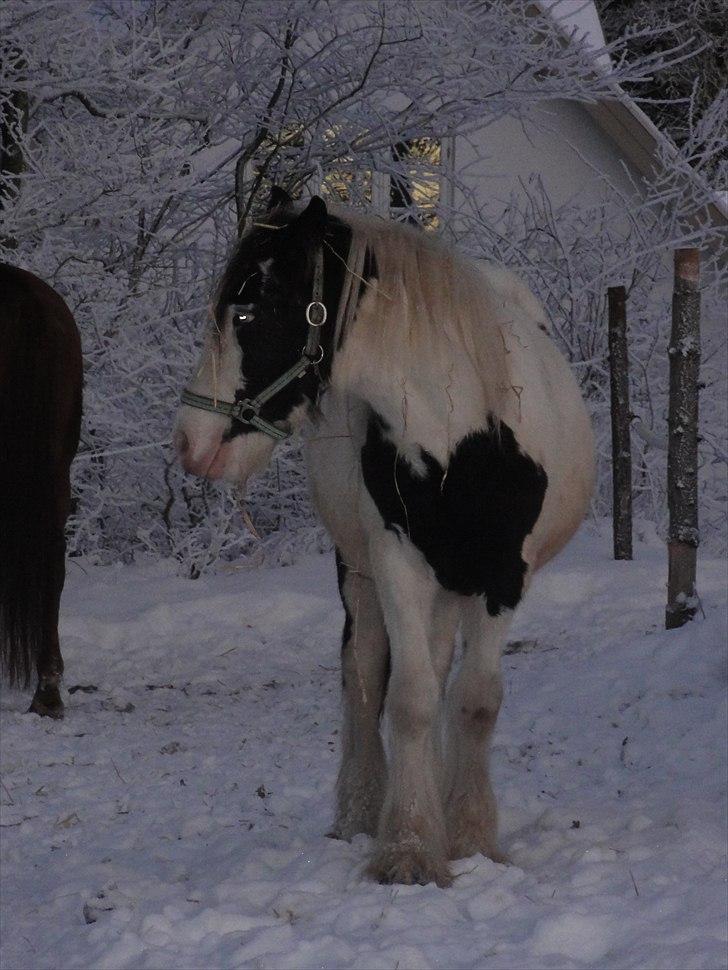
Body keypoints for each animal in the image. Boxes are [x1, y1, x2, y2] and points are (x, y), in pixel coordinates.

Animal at [173, 189, 596, 884]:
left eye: (249, 308)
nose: (189, 443)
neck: (464, 434)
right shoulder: (397, 562)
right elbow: (410, 699)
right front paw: (409, 847)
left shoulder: (503, 580)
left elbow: (474, 702)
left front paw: (470, 837)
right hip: (362, 571)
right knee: (365, 674)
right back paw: (362, 811)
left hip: (453, 586)